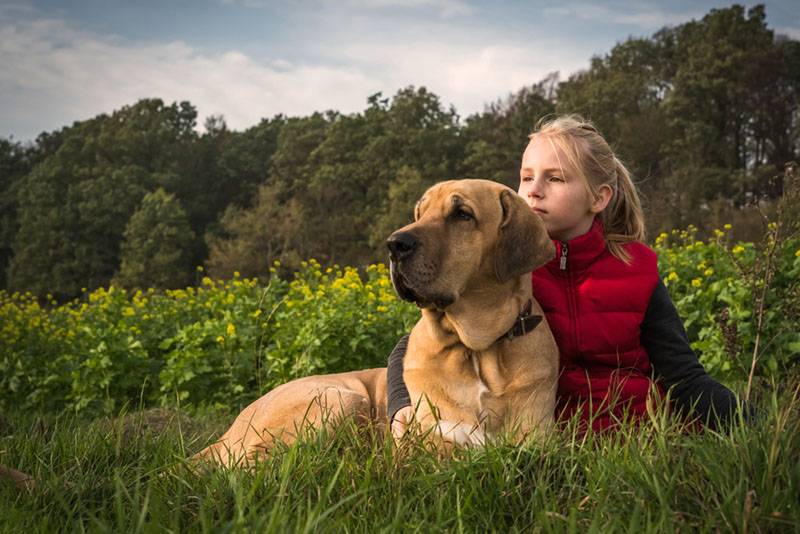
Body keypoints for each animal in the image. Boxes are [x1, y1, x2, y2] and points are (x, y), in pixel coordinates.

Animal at [193, 178, 556, 466]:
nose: (395, 244)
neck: (476, 349)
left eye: (462, 214)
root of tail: (225, 434)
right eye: (419, 213)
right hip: (342, 398)